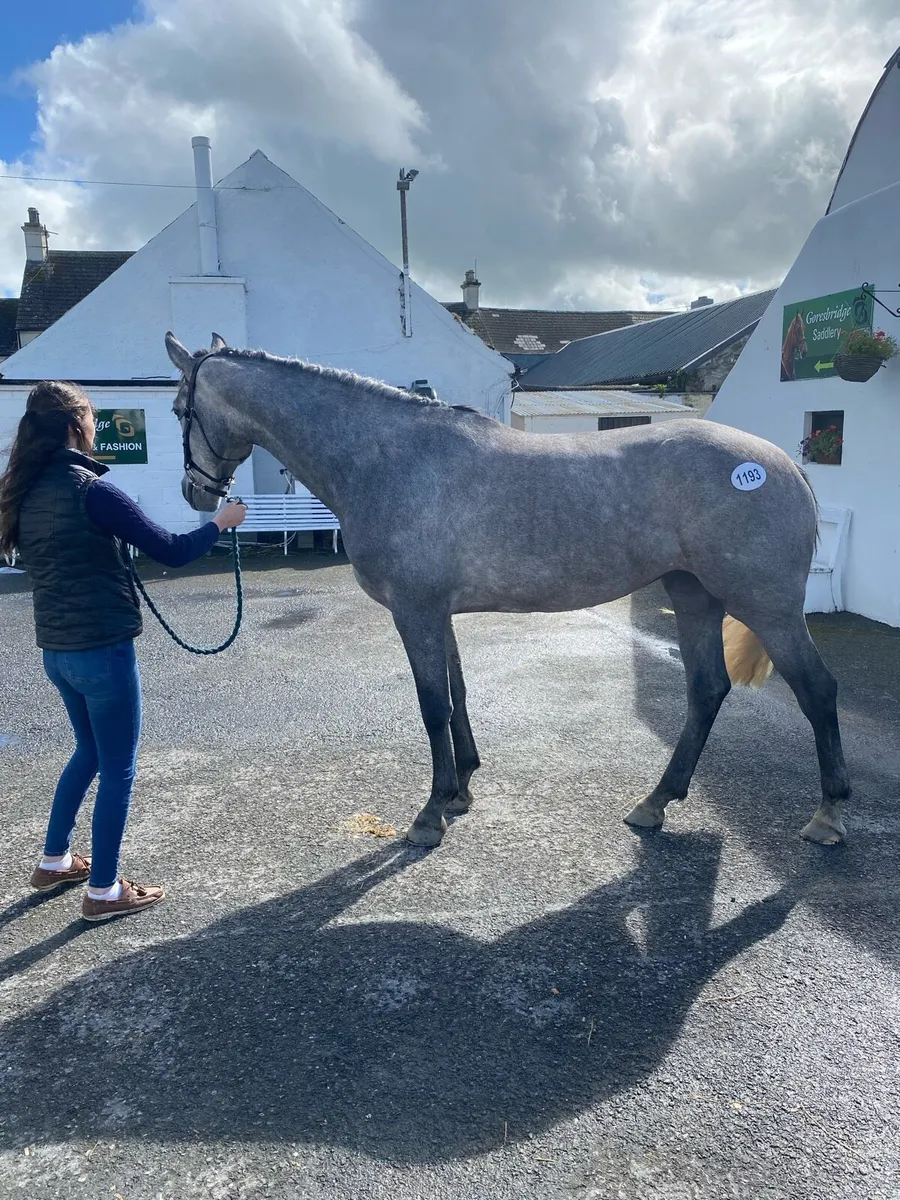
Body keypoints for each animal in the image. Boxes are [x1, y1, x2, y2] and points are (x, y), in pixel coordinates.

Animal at [165, 332, 850, 849]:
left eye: (177, 410)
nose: (195, 493)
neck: (388, 458)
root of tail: (786, 466)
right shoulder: (437, 612)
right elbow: (456, 694)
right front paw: (462, 789)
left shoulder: (415, 611)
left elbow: (431, 704)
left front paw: (430, 813)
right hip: (693, 595)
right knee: (706, 690)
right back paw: (655, 803)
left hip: (767, 606)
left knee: (816, 690)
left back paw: (828, 816)